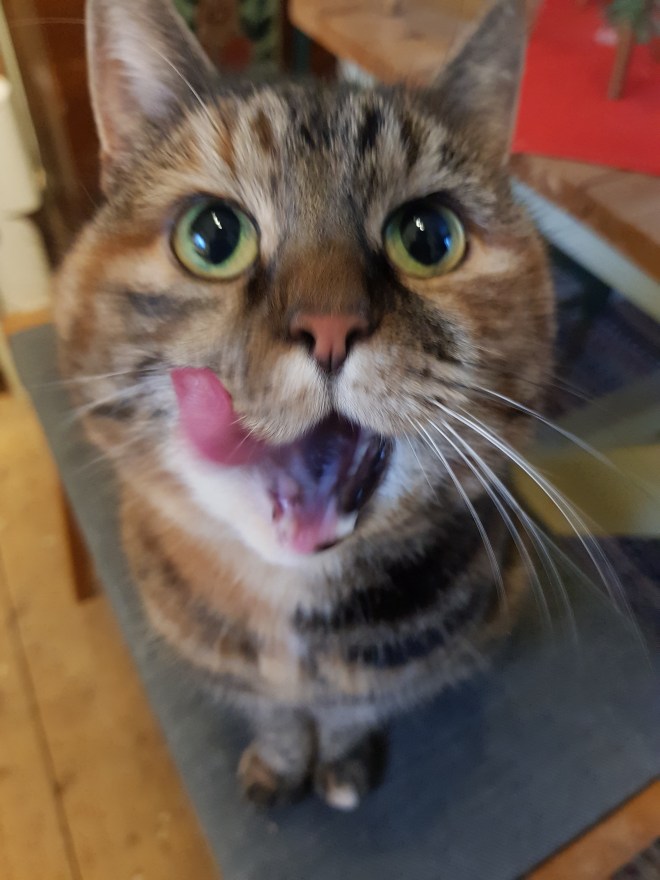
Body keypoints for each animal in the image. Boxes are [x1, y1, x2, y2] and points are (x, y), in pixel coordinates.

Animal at [55, 0, 554, 809]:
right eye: (212, 235)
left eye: (429, 237)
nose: (329, 327)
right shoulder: (233, 670)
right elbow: (276, 716)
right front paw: (281, 763)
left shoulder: (391, 674)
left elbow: (353, 711)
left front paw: (341, 765)